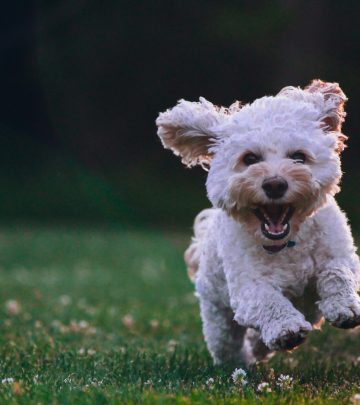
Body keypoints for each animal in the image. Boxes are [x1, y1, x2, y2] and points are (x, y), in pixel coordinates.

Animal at [157, 80, 360, 364]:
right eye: (250, 159)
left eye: (299, 157)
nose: (275, 184)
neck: (288, 243)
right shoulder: (247, 287)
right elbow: (268, 301)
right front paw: (287, 328)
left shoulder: (340, 254)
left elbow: (337, 273)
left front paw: (344, 307)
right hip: (217, 316)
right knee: (227, 344)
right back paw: (241, 361)